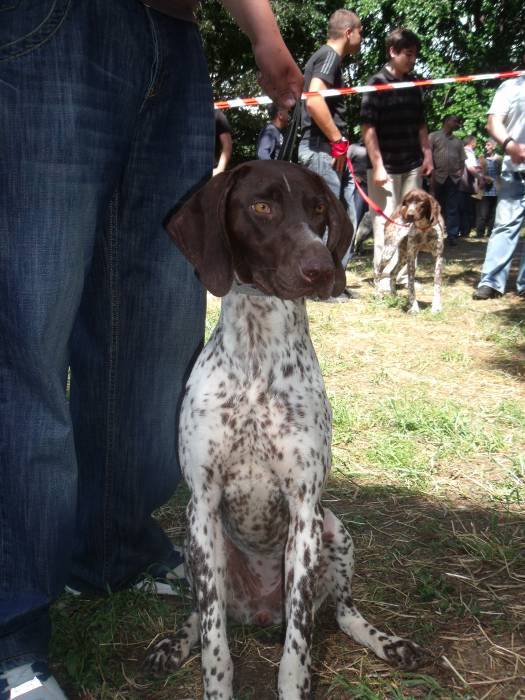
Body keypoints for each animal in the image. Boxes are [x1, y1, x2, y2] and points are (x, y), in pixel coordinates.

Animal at [145, 161, 425, 699]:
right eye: (261, 206)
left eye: (317, 209)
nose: (322, 269)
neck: (258, 357)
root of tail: (258, 612)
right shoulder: (202, 505)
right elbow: (214, 642)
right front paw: (214, 682)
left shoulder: (304, 511)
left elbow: (298, 643)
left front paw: (296, 682)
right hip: (198, 547)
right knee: (201, 613)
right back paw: (174, 643)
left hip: (334, 529)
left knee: (342, 613)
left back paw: (387, 642)